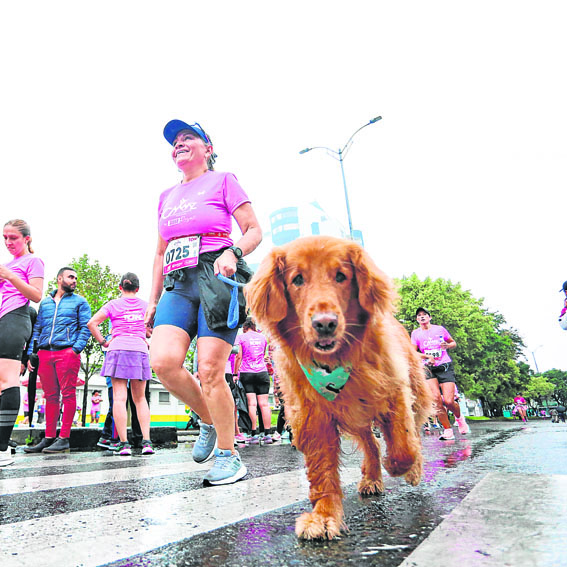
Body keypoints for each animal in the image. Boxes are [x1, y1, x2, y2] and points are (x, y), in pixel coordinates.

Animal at [244, 235, 430, 540]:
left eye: (341, 276)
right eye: (297, 279)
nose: (325, 324)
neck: (335, 361)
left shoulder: (395, 393)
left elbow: (404, 446)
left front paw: (403, 467)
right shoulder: (313, 416)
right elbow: (322, 472)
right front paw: (324, 516)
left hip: (413, 393)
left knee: (411, 432)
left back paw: (407, 470)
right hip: (356, 416)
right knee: (372, 444)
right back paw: (371, 478)